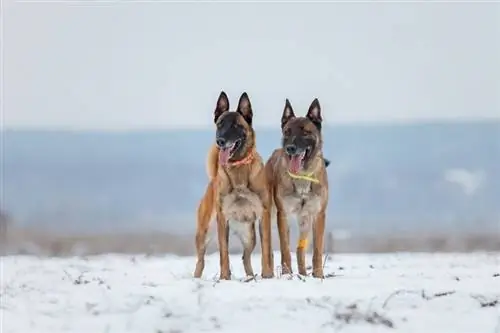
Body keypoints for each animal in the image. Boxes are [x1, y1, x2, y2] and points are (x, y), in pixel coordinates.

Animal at [194, 91, 274, 280]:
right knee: (200, 260)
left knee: (246, 257)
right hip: (205, 232)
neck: (238, 167)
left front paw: (267, 275)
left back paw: (251, 277)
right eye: (220, 124)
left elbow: (266, 250)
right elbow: (224, 253)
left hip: (250, 236)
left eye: (237, 125)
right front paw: (225, 278)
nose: (220, 141)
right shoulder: (222, 219)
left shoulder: (264, 215)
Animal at [264, 98, 330, 278]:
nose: (290, 148)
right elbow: (285, 249)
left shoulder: (318, 215)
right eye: (287, 132)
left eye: (306, 132)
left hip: (305, 220)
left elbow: (317, 250)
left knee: (300, 249)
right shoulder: (282, 215)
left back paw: (303, 274)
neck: (302, 176)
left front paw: (318, 275)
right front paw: (287, 274)